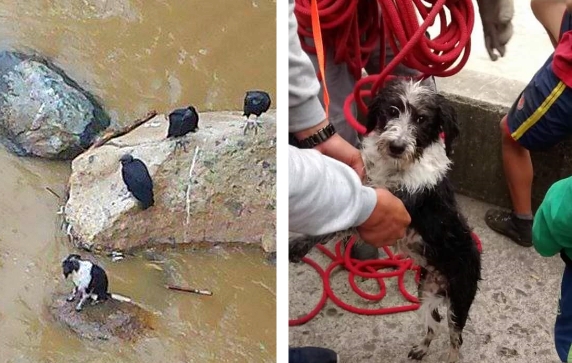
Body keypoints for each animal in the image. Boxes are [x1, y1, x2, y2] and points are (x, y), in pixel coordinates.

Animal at [290, 79, 482, 363]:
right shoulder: (371, 191)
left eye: (422, 119)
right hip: (425, 290)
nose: (396, 146)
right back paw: (422, 348)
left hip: (459, 300)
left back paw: (449, 357)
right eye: (392, 111)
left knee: (455, 339)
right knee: (433, 325)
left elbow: (342, 220)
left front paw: (297, 244)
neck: (397, 168)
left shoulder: (389, 206)